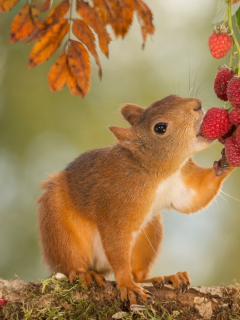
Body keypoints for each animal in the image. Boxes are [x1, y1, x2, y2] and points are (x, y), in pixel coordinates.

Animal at [37, 94, 234, 304]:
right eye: (160, 128)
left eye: (172, 96)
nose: (197, 104)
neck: (158, 172)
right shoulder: (116, 205)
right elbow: (116, 244)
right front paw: (127, 285)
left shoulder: (182, 183)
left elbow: (196, 197)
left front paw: (226, 161)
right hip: (59, 227)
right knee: (70, 262)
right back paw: (84, 273)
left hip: (149, 233)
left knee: (138, 273)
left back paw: (167, 277)